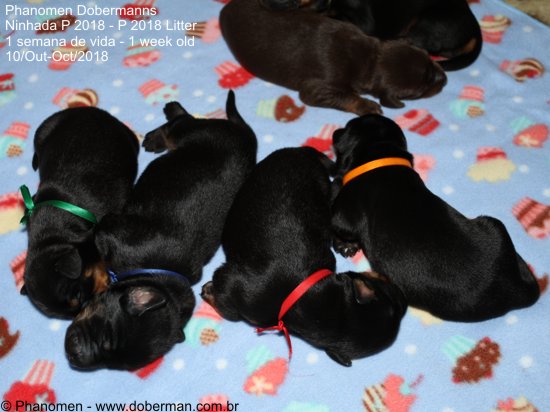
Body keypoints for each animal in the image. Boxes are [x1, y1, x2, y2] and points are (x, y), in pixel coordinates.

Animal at [65, 91, 257, 370]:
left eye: (113, 364)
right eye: (105, 337)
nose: (74, 357)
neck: (156, 270)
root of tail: (244, 135)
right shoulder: (109, 230)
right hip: (197, 133)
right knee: (182, 122)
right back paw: (164, 122)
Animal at [201, 147, 406, 366]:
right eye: (389, 294)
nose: (404, 298)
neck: (302, 299)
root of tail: (301, 150)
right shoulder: (233, 283)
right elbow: (228, 308)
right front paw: (209, 291)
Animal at [221, 0, 447, 115]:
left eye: (427, 55)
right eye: (416, 92)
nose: (444, 79)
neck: (370, 58)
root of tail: (225, 10)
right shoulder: (319, 89)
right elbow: (346, 97)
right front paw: (368, 106)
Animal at [330, 115, 540, 322]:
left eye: (348, 125)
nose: (335, 131)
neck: (381, 155)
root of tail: (517, 291)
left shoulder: (344, 211)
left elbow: (338, 220)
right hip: (496, 225)